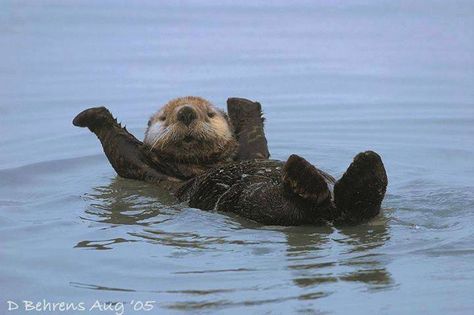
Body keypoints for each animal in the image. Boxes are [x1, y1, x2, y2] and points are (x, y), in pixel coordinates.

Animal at [73, 97, 386, 226]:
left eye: (210, 114)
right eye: (164, 118)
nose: (186, 112)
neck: (201, 165)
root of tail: (332, 212)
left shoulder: (252, 152)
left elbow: (252, 134)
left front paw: (239, 103)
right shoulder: (149, 171)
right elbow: (124, 150)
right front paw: (89, 115)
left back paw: (366, 168)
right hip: (257, 202)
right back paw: (305, 175)